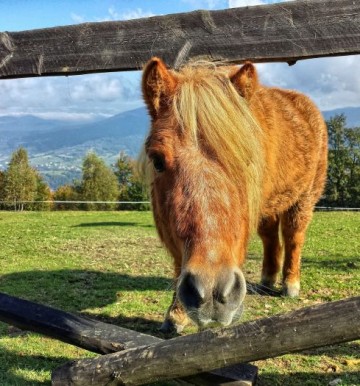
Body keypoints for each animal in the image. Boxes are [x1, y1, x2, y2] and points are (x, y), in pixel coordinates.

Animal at [142, 56, 328, 332]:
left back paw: (290, 284)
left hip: (304, 198)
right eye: (157, 161)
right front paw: (176, 314)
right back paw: (267, 279)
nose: (211, 290)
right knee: (271, 236)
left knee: (293, 236)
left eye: (247, 158)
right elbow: (178, 263)